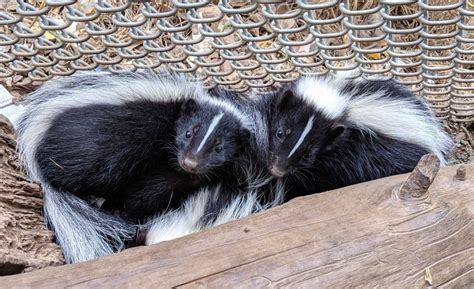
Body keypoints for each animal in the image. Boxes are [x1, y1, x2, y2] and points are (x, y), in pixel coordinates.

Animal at [16, 71, 272, 262]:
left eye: (219, 148)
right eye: (188, 133)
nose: (190, 162)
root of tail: (34, 136)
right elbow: (145, 193)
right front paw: (124, 215)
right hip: (95, 148)